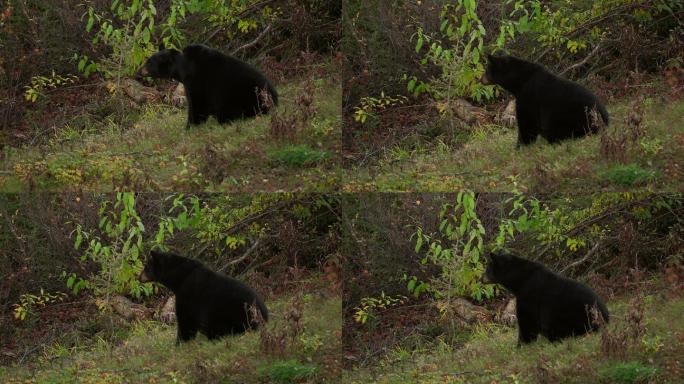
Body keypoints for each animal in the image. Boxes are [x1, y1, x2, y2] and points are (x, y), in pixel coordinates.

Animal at [139, 250, 268, 344]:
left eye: (146, 267)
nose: (139, 277)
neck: (179, 278)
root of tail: (263, 316)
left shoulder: (187, 293)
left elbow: (185, 319)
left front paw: (180, 342)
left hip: (232, 312)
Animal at [140, 43, 280, 127]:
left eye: (148, 62)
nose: (139, 71)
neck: (183, 67)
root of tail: (273, 98)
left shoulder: (197, 79)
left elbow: (197, 102)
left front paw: (190, 125)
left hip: (243, 95)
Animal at [480, 55, 608, 147]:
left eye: (486, 69)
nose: (480, 79)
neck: (520, 81)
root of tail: (602, 121)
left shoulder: (528, 95)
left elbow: (527, 122)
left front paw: (521, 145)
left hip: (571, 117)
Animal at [480, 252, 608, 344]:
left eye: (487, 269)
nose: (481, 279)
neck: (520, 280)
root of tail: (603, 320)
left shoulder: (528, 295)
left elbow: (527, 320)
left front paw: (522, 344)